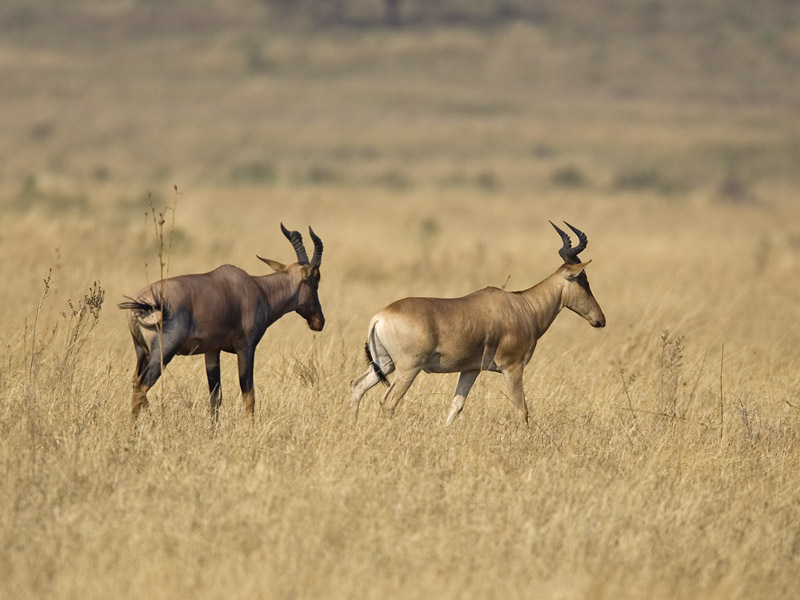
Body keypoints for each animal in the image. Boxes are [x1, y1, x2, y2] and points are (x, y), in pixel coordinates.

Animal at [117, 224, 324, 422]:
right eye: (316, 280)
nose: (319, 321)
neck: (258, 288)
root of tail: (143, 301)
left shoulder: (212, 350)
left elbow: (215, 397)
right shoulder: (246, 348)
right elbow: (249, 395)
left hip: (142, 351)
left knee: (136, 383)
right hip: (164, 350)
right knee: (142, 385)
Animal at [350, 221, 608, 426]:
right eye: (583, 280)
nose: (600, 320)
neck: (521, 305)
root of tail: (380, 316)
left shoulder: (470, 369)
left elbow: (456, 406)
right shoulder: (512, 368)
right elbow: (521, 409)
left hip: (384, 363)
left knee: (357, 386)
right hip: (408, 368)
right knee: (387, 402)